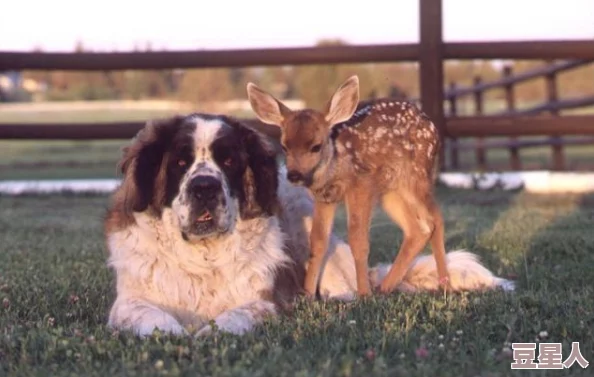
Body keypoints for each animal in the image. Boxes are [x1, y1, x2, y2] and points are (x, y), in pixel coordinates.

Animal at [104, 111, 512, 334]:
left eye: (229, 161)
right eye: (179, 162)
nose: (205, 187)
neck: (203, 258)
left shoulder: (265, 301)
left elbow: (237, 315)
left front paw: (209, 332)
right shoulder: (129, 302)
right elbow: (149, 316)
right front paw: (176, 333)